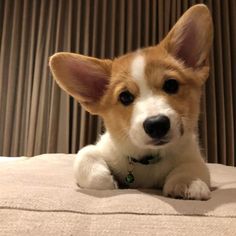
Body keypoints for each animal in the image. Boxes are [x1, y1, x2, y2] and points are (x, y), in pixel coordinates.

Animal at [49, 4, 214, 200]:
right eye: (125, 96)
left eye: (171, 85)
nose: (157, 124)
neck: (148, 160)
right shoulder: (104, 147)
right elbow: (85, 155)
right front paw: (106, 180)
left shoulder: (194, 157)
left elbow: (192, 167)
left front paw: (187, 183)